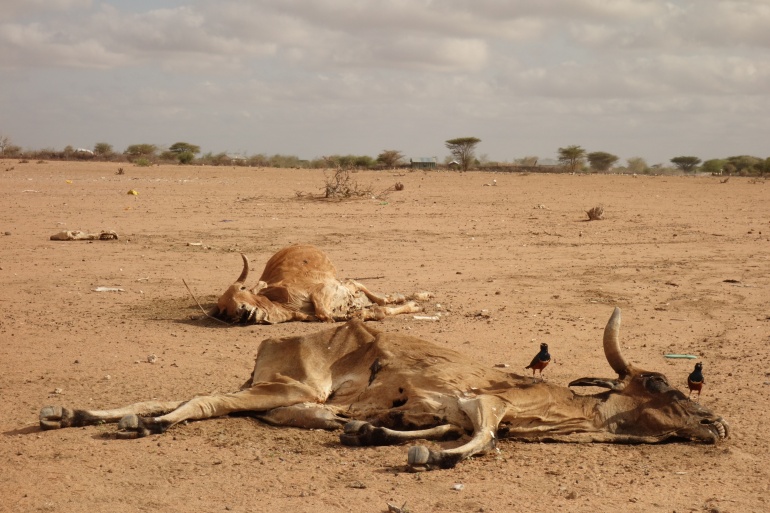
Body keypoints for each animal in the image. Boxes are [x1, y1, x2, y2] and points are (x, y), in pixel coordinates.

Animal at [210, 242, 428, 322]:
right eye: (224, 309)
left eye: (242, 289)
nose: (241, 312)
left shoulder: (325, 288)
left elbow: (324, 311)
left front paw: (414, 305)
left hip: (338, 282)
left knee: (355, 284)